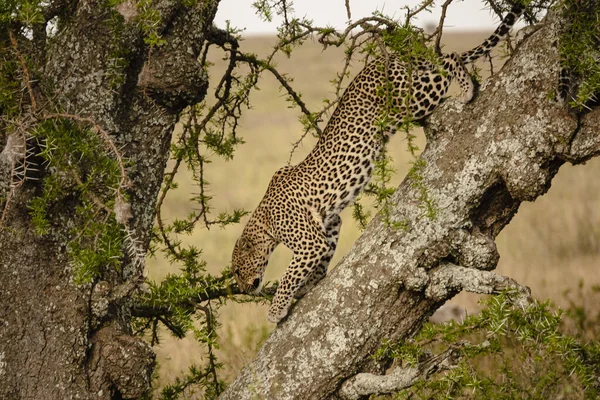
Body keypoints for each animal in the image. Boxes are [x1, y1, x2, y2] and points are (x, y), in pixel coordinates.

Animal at [232, 3, 524, 324]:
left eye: (237, 270)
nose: (242, 289)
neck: (264, 221)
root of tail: (387, 58)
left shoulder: (309, 241)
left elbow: (289, 275)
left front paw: (276, 309)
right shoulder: (329, 225)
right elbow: (321, 260)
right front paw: (308, 286)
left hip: (413, 98)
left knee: (449, 59)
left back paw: (466, 89)